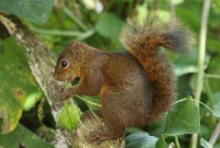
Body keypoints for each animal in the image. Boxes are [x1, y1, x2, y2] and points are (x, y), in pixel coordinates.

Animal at [53, 16, 192, 140]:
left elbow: (92, 87)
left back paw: (104, 135)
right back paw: (100, 111)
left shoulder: (95, 71)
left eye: (64, 63)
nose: (55, 77)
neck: (87, 59)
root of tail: (142, 119)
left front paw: (70, 91)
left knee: (120, 131)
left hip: (112, 99)